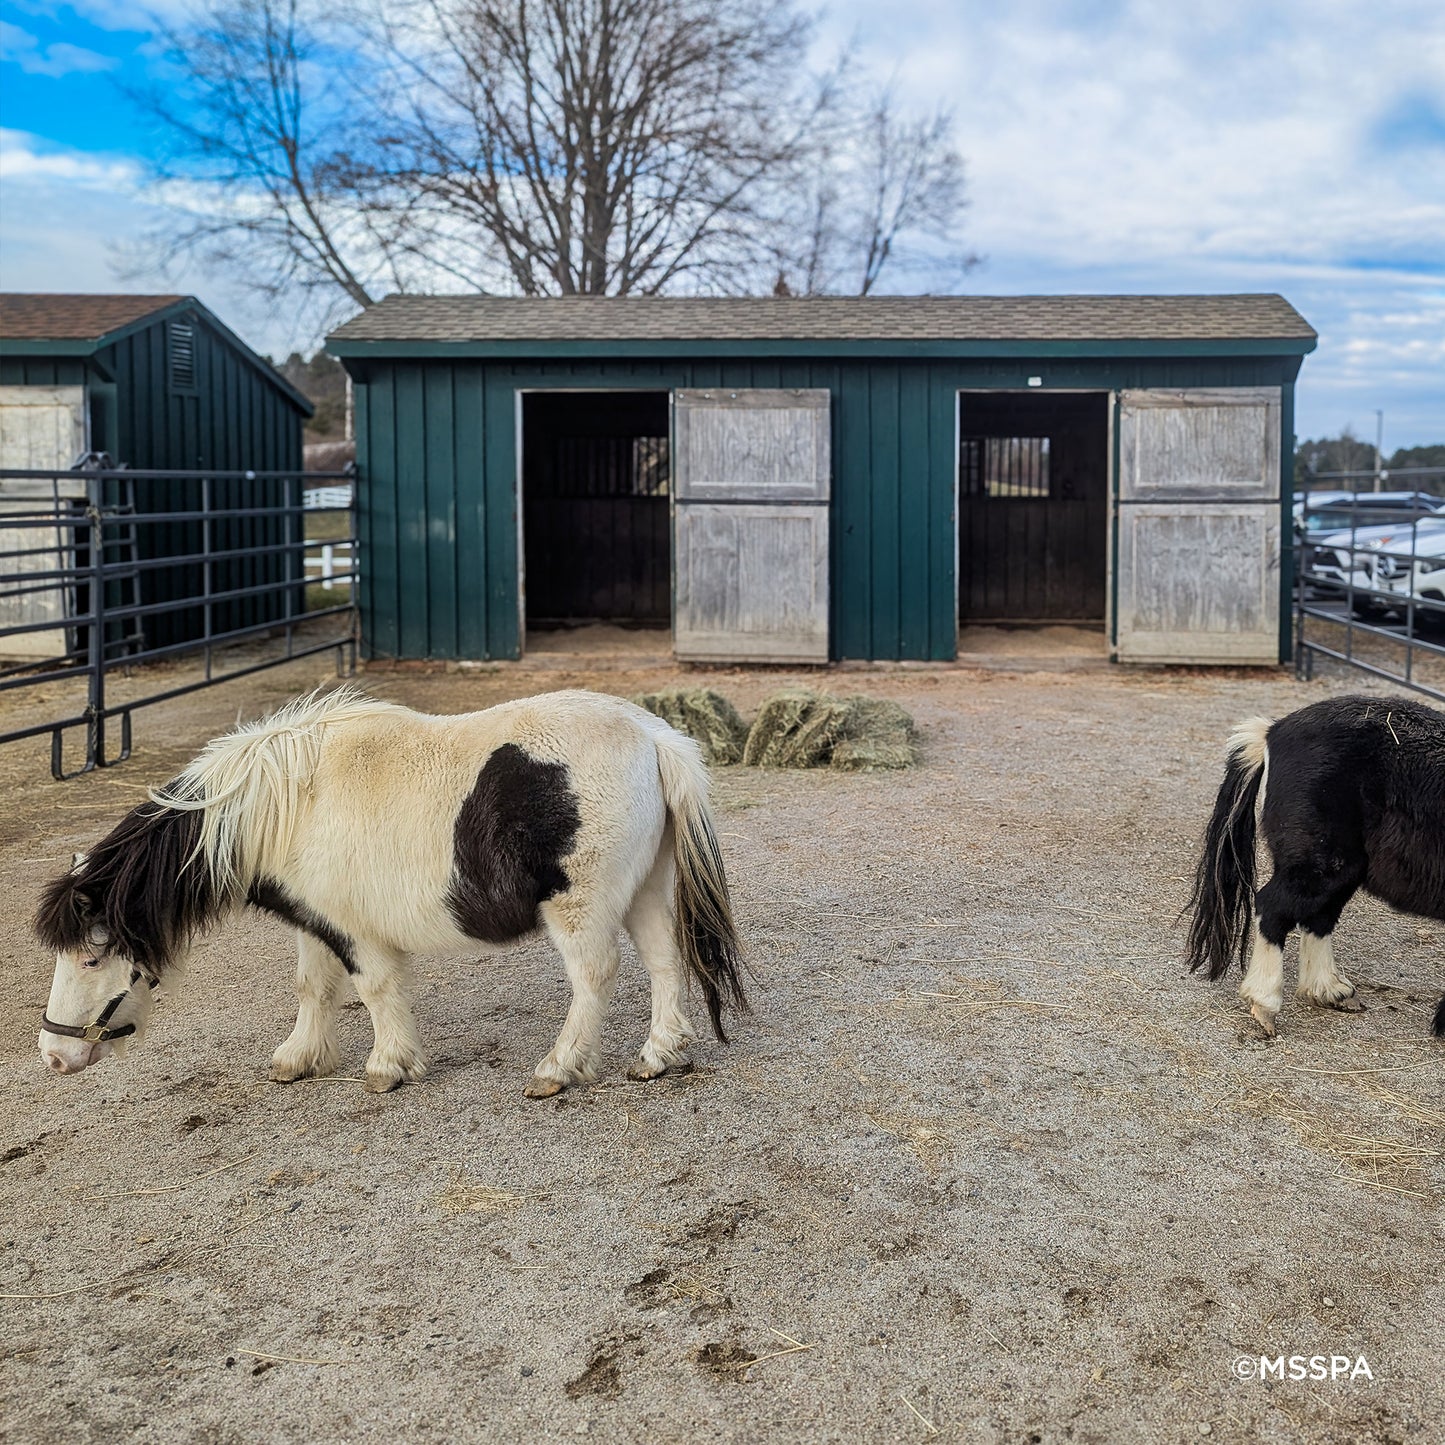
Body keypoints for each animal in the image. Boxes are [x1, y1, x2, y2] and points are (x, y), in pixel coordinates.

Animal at [34, 687, 749, 1095]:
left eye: (92, 957)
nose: (54, 1056)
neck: (290, 804)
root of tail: (653, 735)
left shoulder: (354, 931)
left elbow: (375, 990)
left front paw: (388, 1065)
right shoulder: (314, 919)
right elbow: (313, 988)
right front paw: (301, 1058)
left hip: (583, 905)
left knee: (595, 976)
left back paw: (559, 1069)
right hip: (644, 891)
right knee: (665, 962)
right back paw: (658, 1056)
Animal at [1184, 694, 1445, 1037]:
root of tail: (1273, 731)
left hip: (1341, 870)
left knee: (1319, 917)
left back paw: (1328, 989)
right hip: (1320, 866)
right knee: (1275, 908)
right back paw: (1266, 1002)